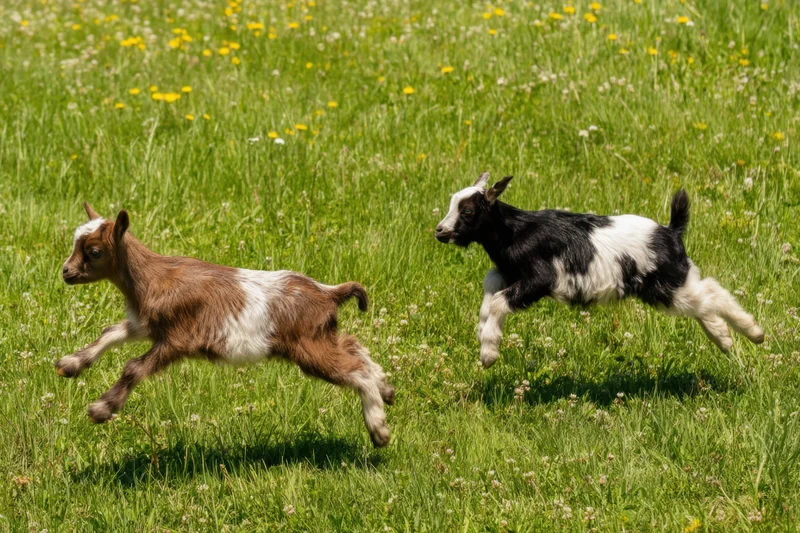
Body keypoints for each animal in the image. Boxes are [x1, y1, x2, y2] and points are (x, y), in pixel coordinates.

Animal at [58, 203, 394, 447]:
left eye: (94, 252)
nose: (66, 272)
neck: (153, 277)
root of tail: (328, 292)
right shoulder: (148, 324)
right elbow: (111, 333)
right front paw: (70, 364)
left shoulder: (178, 337)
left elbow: (133, 367)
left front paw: (102, 408)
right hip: (322, 336)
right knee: (353, 346)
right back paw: (386, 388)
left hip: (309, 346)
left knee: (355, 369)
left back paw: (378, 428)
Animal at [435, 172, 764, 368]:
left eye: (468, 211)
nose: (439, 231)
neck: (515, 231)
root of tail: (671, 232)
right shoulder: (508, 273)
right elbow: (490, 288)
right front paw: (483, 331)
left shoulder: (541, 278)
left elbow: (500, 301)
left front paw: (488, 352)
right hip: (671, 285)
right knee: (706, 295)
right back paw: (724, 337)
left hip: (666, 286)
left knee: (711, 295)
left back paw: (752, 332)